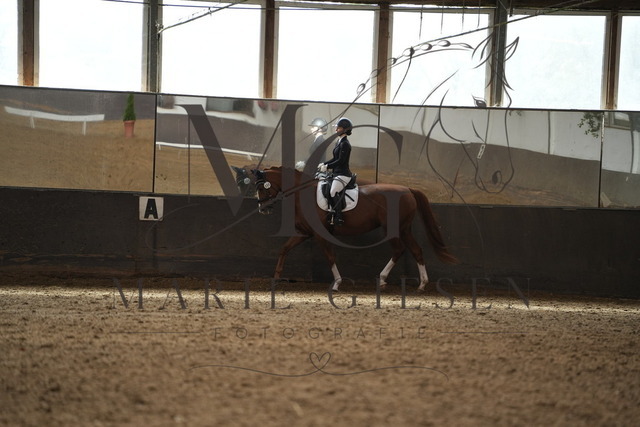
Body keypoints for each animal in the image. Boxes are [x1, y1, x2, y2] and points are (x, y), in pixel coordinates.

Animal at [248, 166, 457, 292]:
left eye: (262, 187)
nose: (263, 209)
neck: (303, 193)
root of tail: (407, 189)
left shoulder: (319, 234)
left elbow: (330, 257)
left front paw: (337, 283)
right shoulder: (304, 233)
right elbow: (284, 249)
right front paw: (276, 278)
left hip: (392, 229)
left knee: (399, 250)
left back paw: (383, 279)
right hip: (404, 229)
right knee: (416, 250)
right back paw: (421, 284)